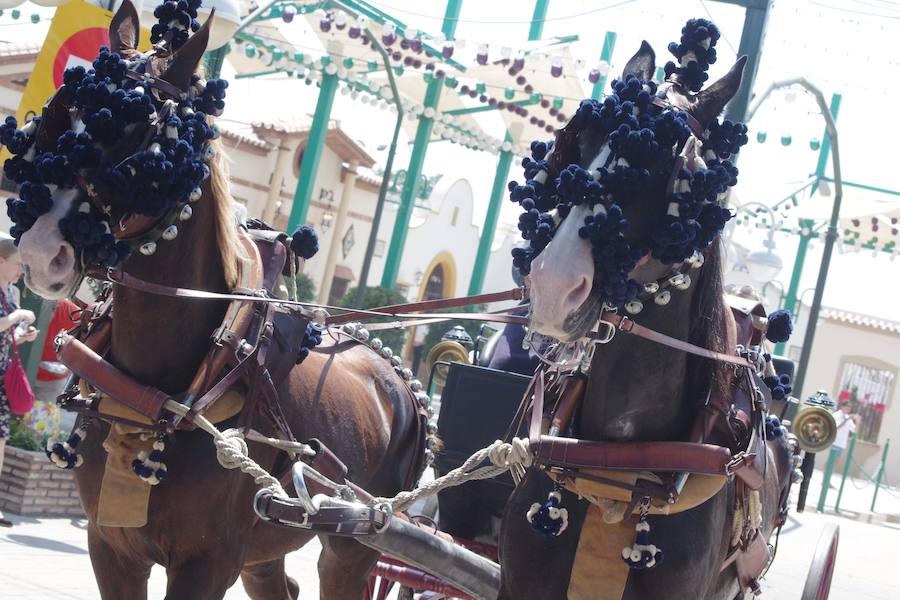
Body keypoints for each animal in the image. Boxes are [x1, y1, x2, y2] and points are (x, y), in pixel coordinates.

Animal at [13, 3, 422, 596]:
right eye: (56, 115)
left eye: (138, 132)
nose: (41, 250)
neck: (164, 394)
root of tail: (397, 375)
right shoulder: (110, 547)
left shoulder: (207, 564)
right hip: (267, 549)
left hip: (353, 546)